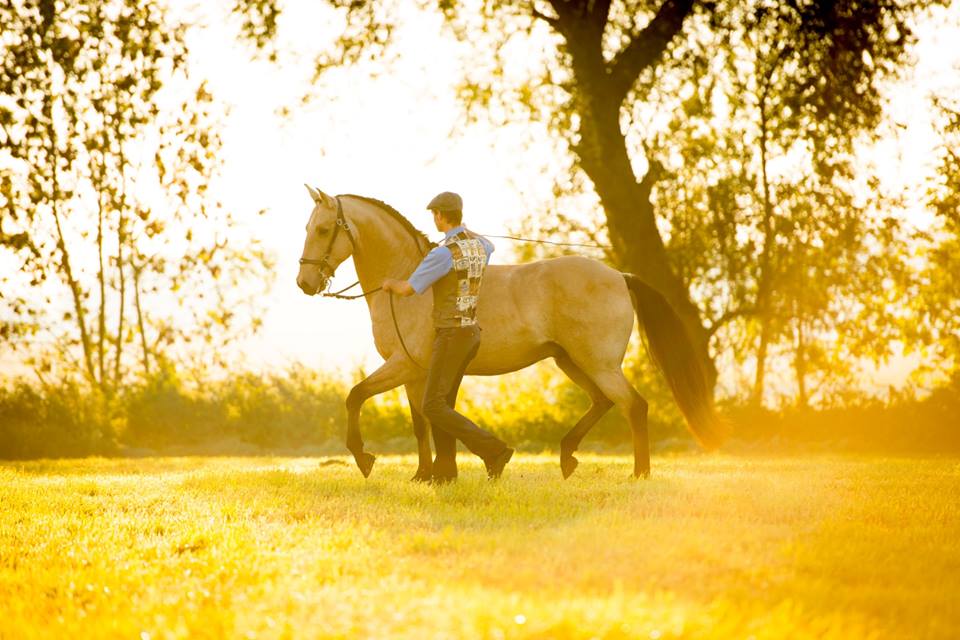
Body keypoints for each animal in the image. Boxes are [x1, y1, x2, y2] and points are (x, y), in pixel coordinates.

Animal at [296, 186, 726, 480]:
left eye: (323, 229)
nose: (305, 283)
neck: (410, 282)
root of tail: (619, 276)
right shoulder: (416, 374)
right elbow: (423, 424)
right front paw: (425, 474)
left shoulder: (403, 366)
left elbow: (356, 396)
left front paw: (364, 458)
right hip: (570, 360)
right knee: (603, 402)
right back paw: (567, 457)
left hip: (598, 363)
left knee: (634, 406)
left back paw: (638, 472)